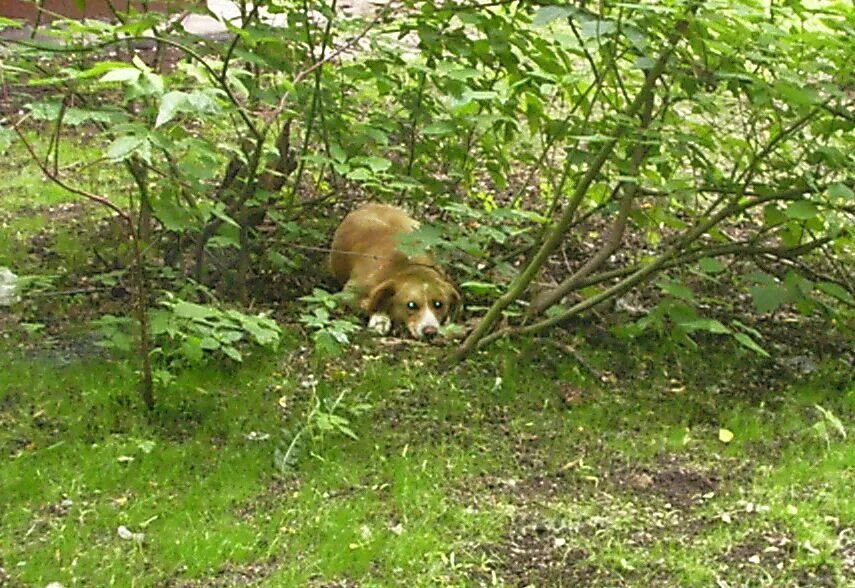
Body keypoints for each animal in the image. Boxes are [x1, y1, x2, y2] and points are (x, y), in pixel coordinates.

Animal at [330, 203, 462, 338]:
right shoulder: (349, 292)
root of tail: (372, 204)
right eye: (411, 305)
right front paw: (381, 319)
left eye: (438, 304)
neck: (407, 267)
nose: (430, 331)